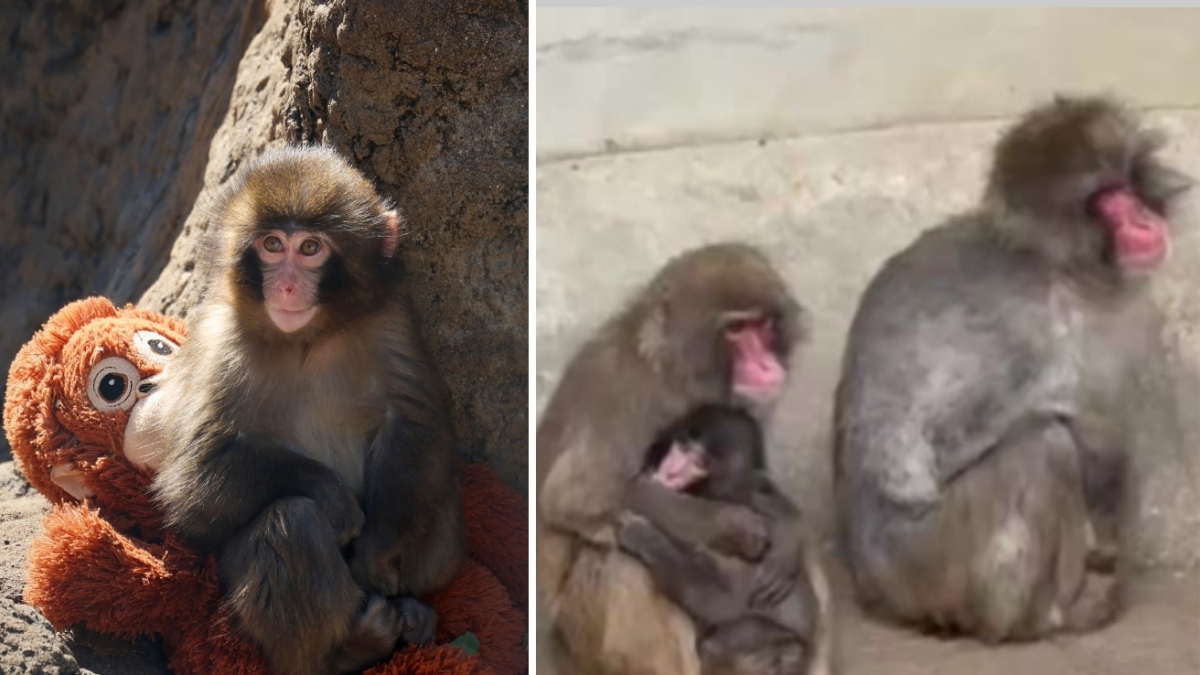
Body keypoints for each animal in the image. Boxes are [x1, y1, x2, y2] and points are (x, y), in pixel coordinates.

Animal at [151, 145, 467, 675]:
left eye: (311, 249)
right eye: (272, 245)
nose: (286, 287)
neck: (308, 339)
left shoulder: (392, 319)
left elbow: (413, 424)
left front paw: (375, 555)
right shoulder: (220, 340)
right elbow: (195, 478)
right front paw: (333, 497)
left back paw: (412, 609)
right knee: (292, 523)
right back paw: (346, 650)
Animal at [536, 243, 811, 675]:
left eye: (763, 325)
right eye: (736, 330)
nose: (768, 366)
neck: (674, 375)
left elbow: (757, 480)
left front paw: (789, 529)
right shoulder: (627, 395)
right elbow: (575, 497)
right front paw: (728, 523)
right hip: (579, 637)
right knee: (621, 563)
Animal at [616, 404, 834, 675]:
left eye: (700, 463)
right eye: (684, 446)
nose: (672, 468)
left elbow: (721, 602)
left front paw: (644, 537)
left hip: (779, 652)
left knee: (724, 641)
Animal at [833, 96, 1193, 642]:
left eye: (1128, 185)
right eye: (1106, 200)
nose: (1141, 218)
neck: (1062, 270)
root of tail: (866, 582)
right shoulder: (1031, 330)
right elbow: (910, 457)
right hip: (926, 564)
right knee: (1045, 445)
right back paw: (1035, 619)